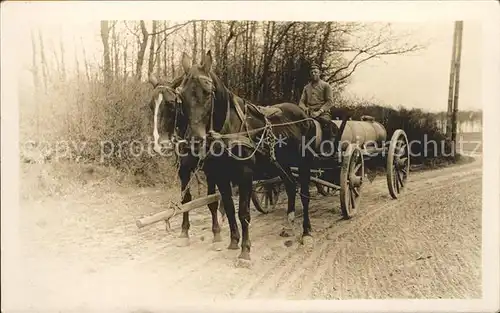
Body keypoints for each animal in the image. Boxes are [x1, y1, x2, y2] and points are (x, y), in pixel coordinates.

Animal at [147, 72, 224, 244]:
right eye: (150, 105)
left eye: (170, 103)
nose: (158, 145)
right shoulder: (183, 169)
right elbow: (186, 200)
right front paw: (184, 232)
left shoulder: (211, 170)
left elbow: (212, 200)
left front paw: (216, 233)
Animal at [176, 50, 316, 264]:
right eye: (182, 95)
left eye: (207, 93)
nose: (193, 140)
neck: (228, 129)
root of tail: (304, 114)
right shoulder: (221, 176)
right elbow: (228, 208)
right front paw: (233, 242)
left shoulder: (245, 176)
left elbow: (243, 212)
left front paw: (245, 252)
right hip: (281, 165)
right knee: (291, 186)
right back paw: (288, 226)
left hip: (304, 164)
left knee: (305, 195)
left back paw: (306, 233)